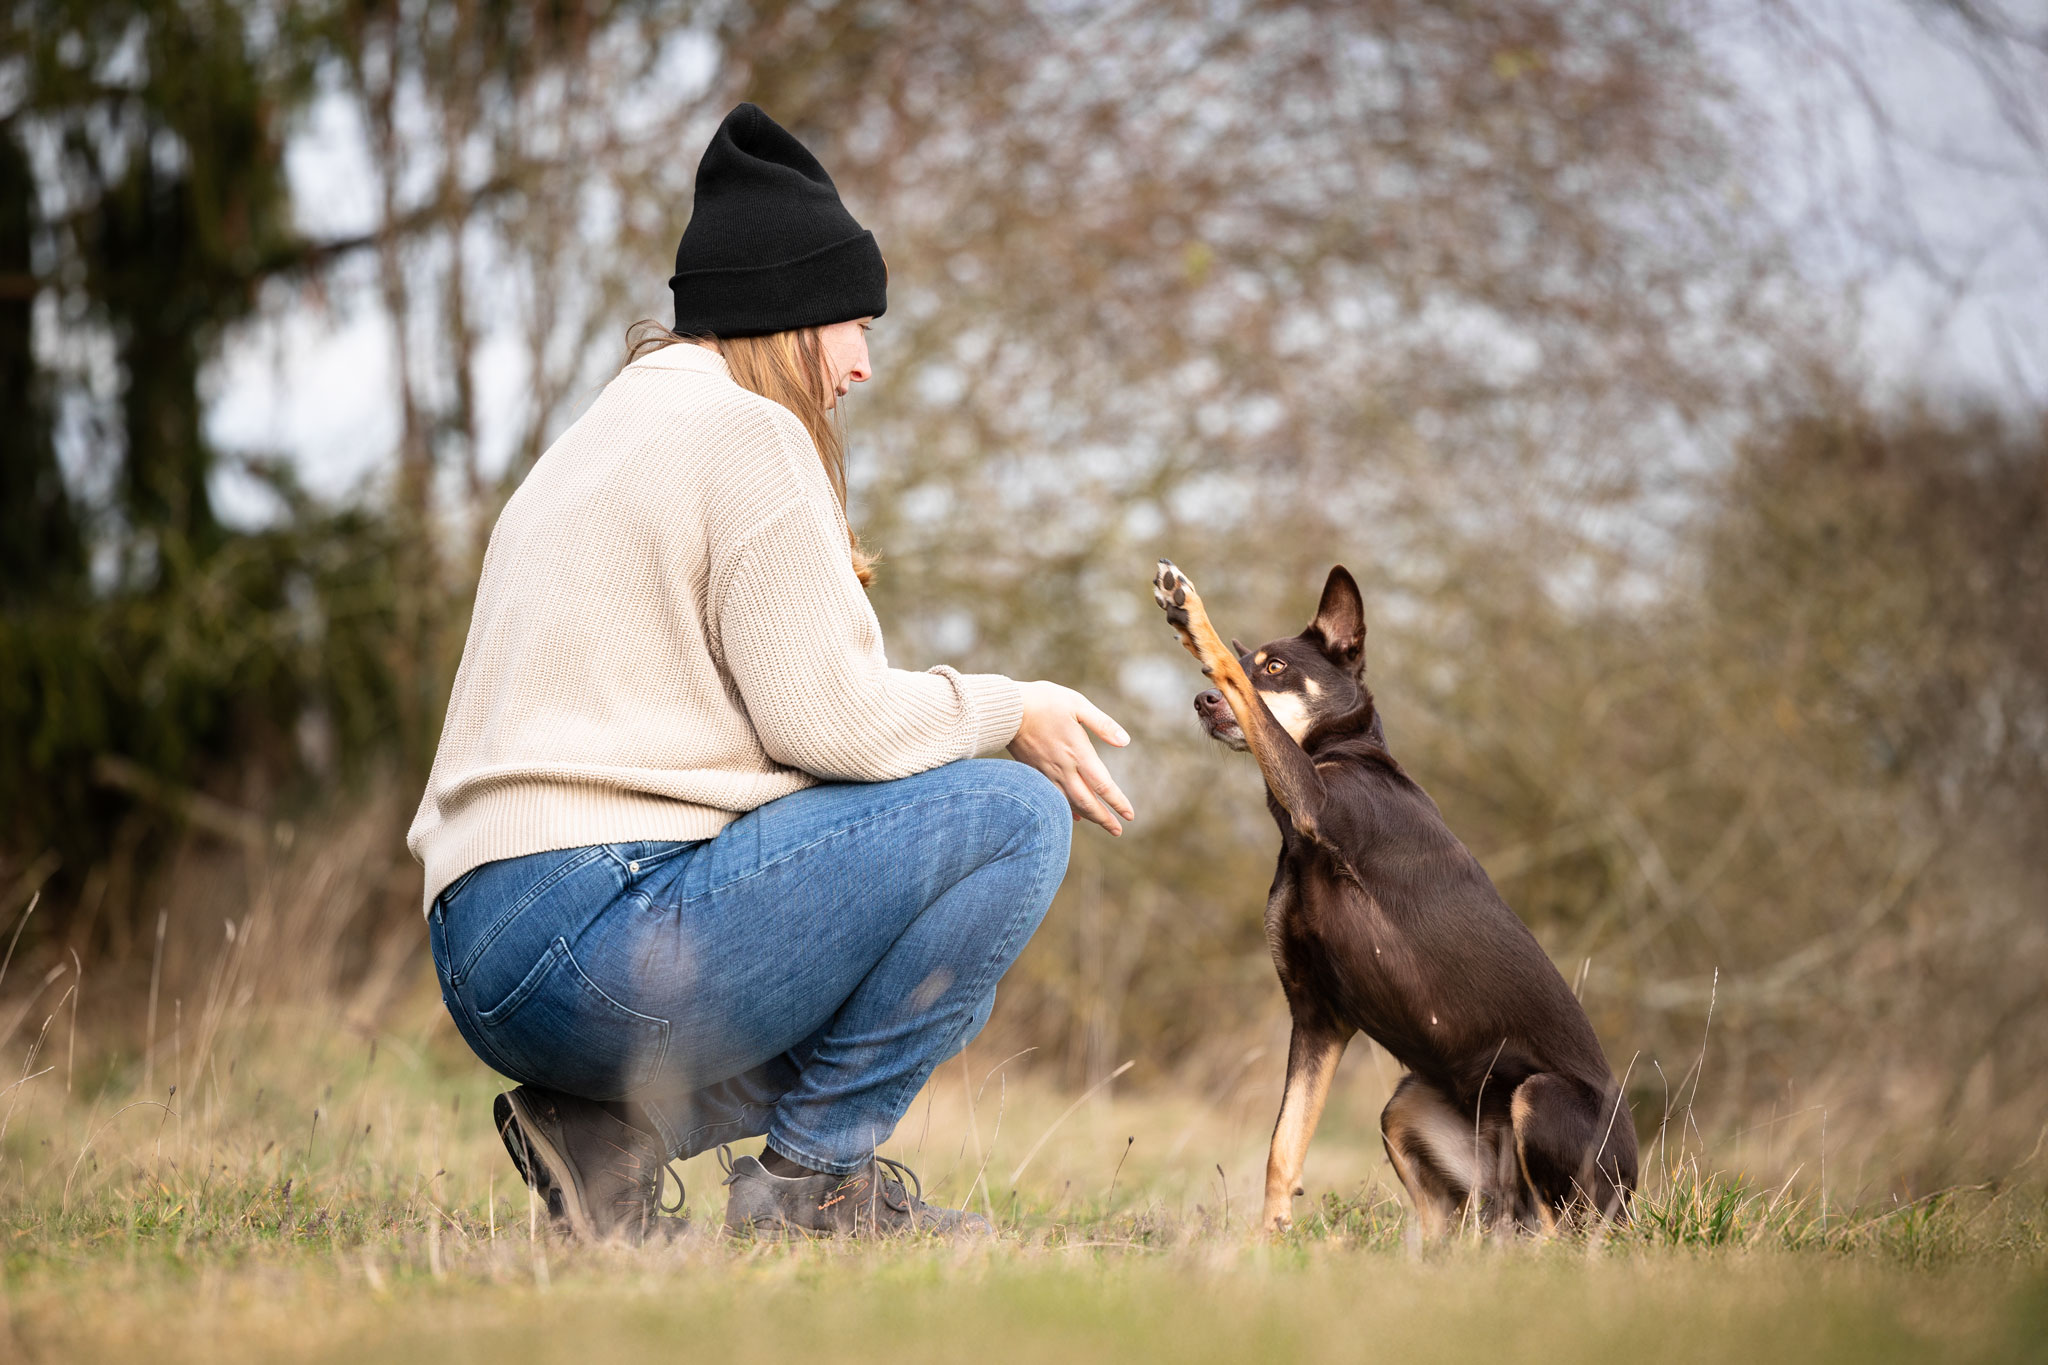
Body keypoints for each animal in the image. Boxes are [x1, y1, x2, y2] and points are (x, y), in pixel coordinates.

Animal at [1146, 560, 1638, 1236]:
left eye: (1274, 666)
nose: (1200, 702)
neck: (1340, 752)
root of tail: (1636, 1195)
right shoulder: (1319, 1017)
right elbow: (1283, 1148)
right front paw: (1268, 1243)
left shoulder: (1316, 800)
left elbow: (1243, 691)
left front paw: (1192, 617)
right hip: (1408, 1110)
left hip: (1541, 1099)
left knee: (1559, 1229)